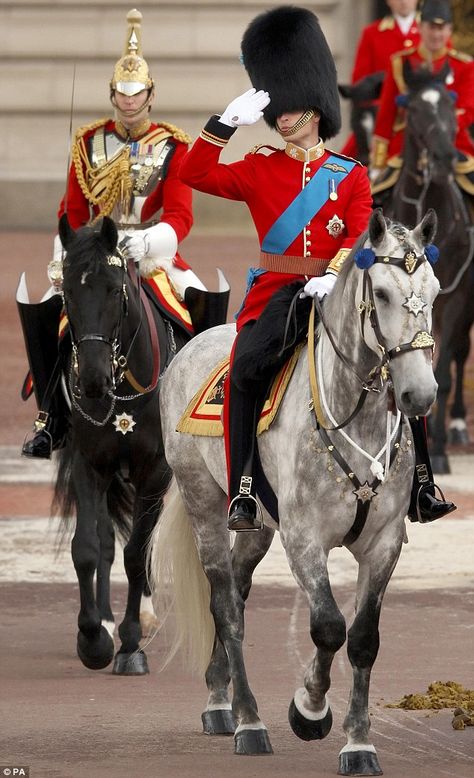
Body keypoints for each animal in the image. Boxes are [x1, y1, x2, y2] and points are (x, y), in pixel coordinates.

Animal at [53, 214, 191, 672]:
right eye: (68, 291)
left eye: (115, 289)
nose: (92, 381)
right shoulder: (89, 463)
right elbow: (88, 548)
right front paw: (93, 638)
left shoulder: (155, 470)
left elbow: (135, 553)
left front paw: (130, 644)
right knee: (106, 538)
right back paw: (108, 621)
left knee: (142, 544)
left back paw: (142, 618)